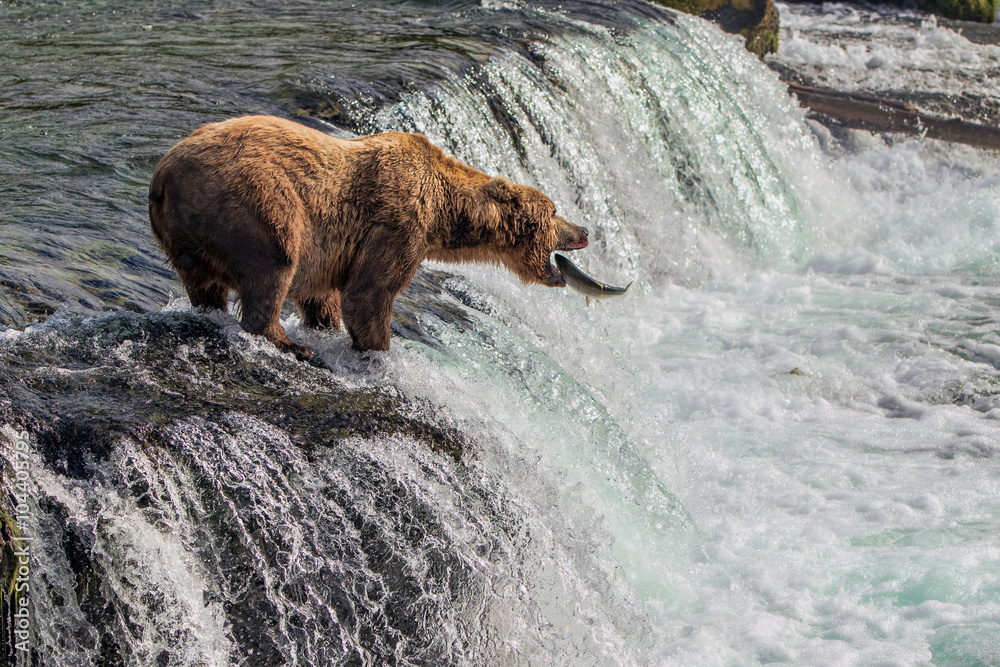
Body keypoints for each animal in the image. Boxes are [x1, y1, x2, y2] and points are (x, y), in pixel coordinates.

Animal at [148, 115, 589, 359]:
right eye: (553, 212)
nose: (584, 230)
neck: (443, 211)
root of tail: (163, 175)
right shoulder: (396, 222)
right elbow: (369, 292)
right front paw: (378, 349)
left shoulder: (333, 250)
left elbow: (322, 296)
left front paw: (325, 327)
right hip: (256, 202)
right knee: (273, 264)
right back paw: (290, 344)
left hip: (188, 236)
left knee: (205, 284)